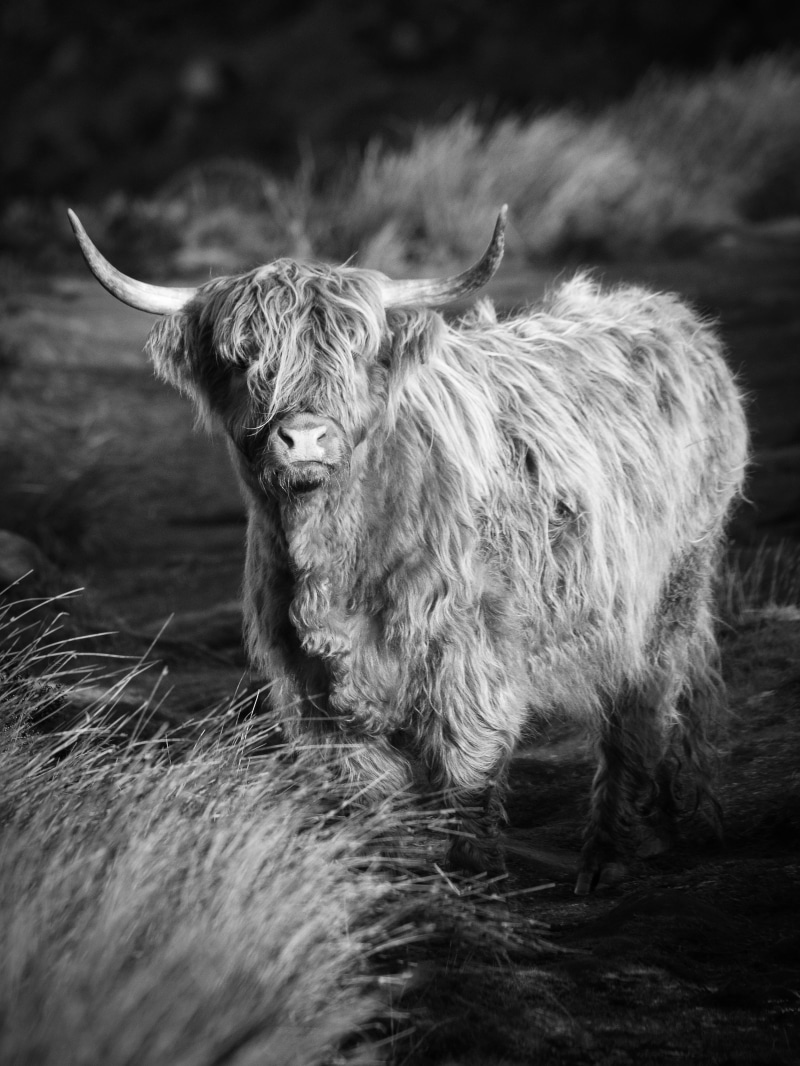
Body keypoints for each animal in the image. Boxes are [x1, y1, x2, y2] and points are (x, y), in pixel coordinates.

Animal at [68, 206, 748, 893]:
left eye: (356, 355)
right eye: (244, 360)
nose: (304, 437)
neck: (336, 563)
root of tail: (666, 313)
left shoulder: (471, 656)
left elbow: (469, 771)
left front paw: (475, 881)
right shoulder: (316, 686)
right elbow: (368, 790)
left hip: (670, 584)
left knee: (645, 702)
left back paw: (613, 852)